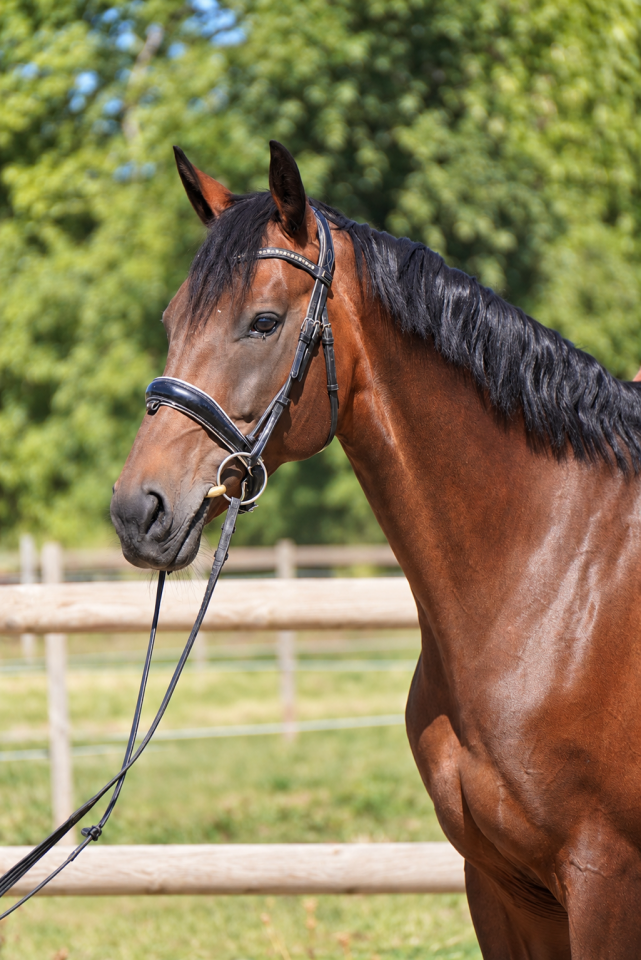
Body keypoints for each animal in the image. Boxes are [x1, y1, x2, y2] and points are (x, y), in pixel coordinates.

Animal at [111, 140, 641, 959]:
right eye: (173, 319)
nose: (138, 509)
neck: (560, 585)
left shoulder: (603, 881)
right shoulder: (501, 888)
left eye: (264, 322)